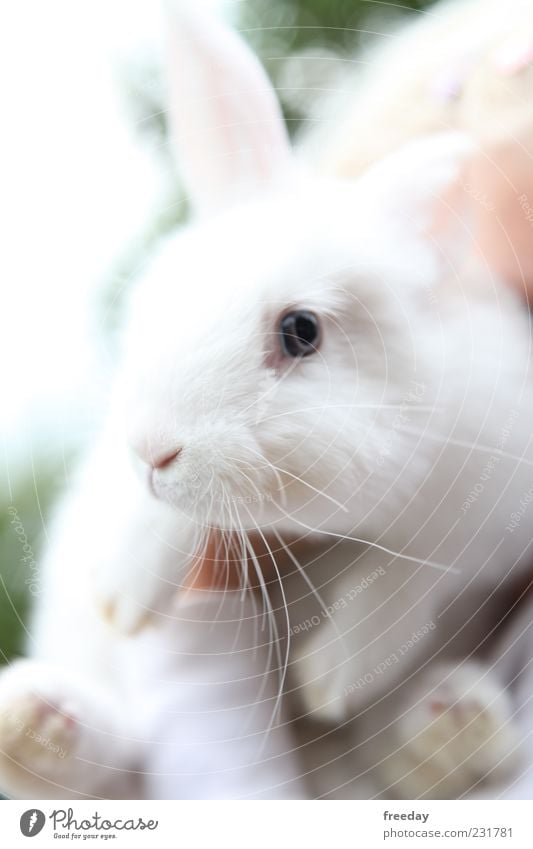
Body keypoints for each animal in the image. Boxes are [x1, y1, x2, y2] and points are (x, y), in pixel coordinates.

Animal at [1, 0, 532, 800]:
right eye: (166, 293)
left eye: (300, 330)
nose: (152, 449)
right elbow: (157, 515)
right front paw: (123, 590)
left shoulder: (490, 512)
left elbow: (412, 569)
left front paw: (334, 672)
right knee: (117, 760)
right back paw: (39, 720)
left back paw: (451, 724)